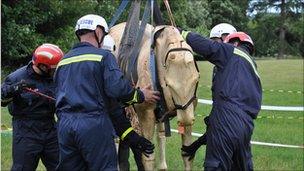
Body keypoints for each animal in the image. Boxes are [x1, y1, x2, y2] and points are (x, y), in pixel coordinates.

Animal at [109, 22, 200, 170]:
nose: (185, 120)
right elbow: (148, 157)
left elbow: (187, 154)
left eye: (196, 79)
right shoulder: (145, 113)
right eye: (169, 83)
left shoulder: (188, 109)